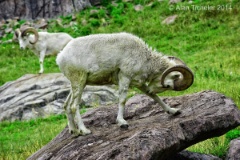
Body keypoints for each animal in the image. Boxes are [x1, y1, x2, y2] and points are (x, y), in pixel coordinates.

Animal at [55, 32, 193, 135]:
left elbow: (154, 97)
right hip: (79, 81)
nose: (151, 89)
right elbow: (122, 100)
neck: (144, 58)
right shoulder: (125, 77)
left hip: (76, 84)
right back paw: (85, 131)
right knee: (74, 106)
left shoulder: (138, 83)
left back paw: (74, 131)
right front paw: (122, 123)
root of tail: (60, 57)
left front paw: (173, 111)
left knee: (66, 105)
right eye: (168, 85)